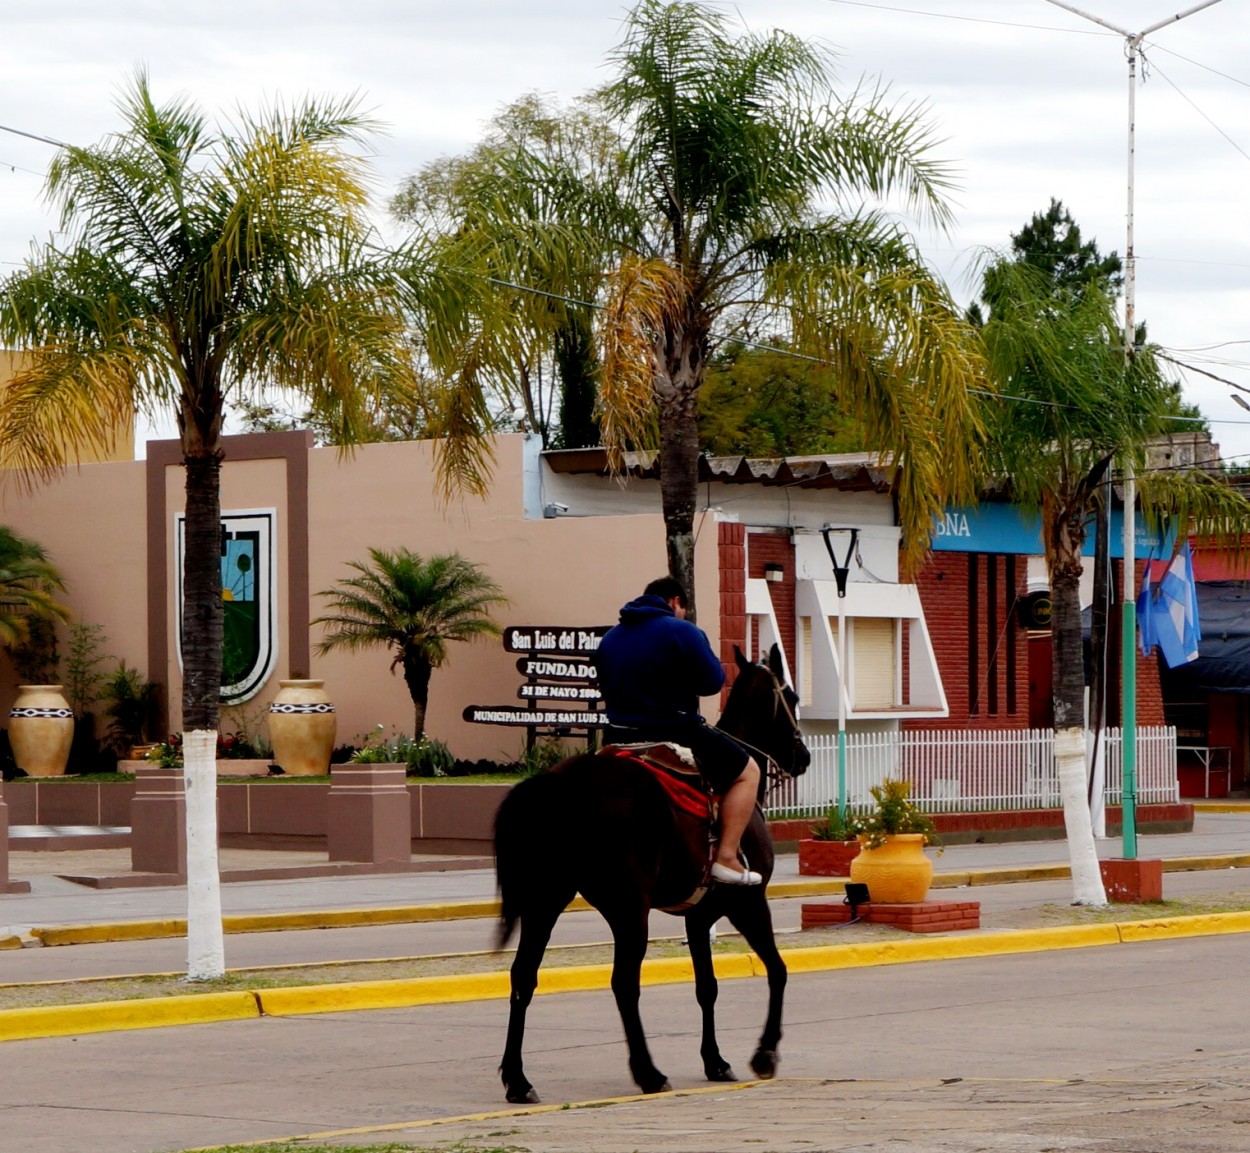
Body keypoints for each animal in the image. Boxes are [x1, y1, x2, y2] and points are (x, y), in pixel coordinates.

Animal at [492, 640, 805, 1100]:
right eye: (793, 698)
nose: (803, 756)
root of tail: (561, 783)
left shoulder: (699, 916)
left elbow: (707, 987)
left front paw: (715, 1060)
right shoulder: (748, 902)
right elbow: (778, 971)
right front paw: (764, 1053)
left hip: (546, 901)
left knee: (523, 977)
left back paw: (517, 1078)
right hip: (628, 908)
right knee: (623, 982)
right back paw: (648, 1072)